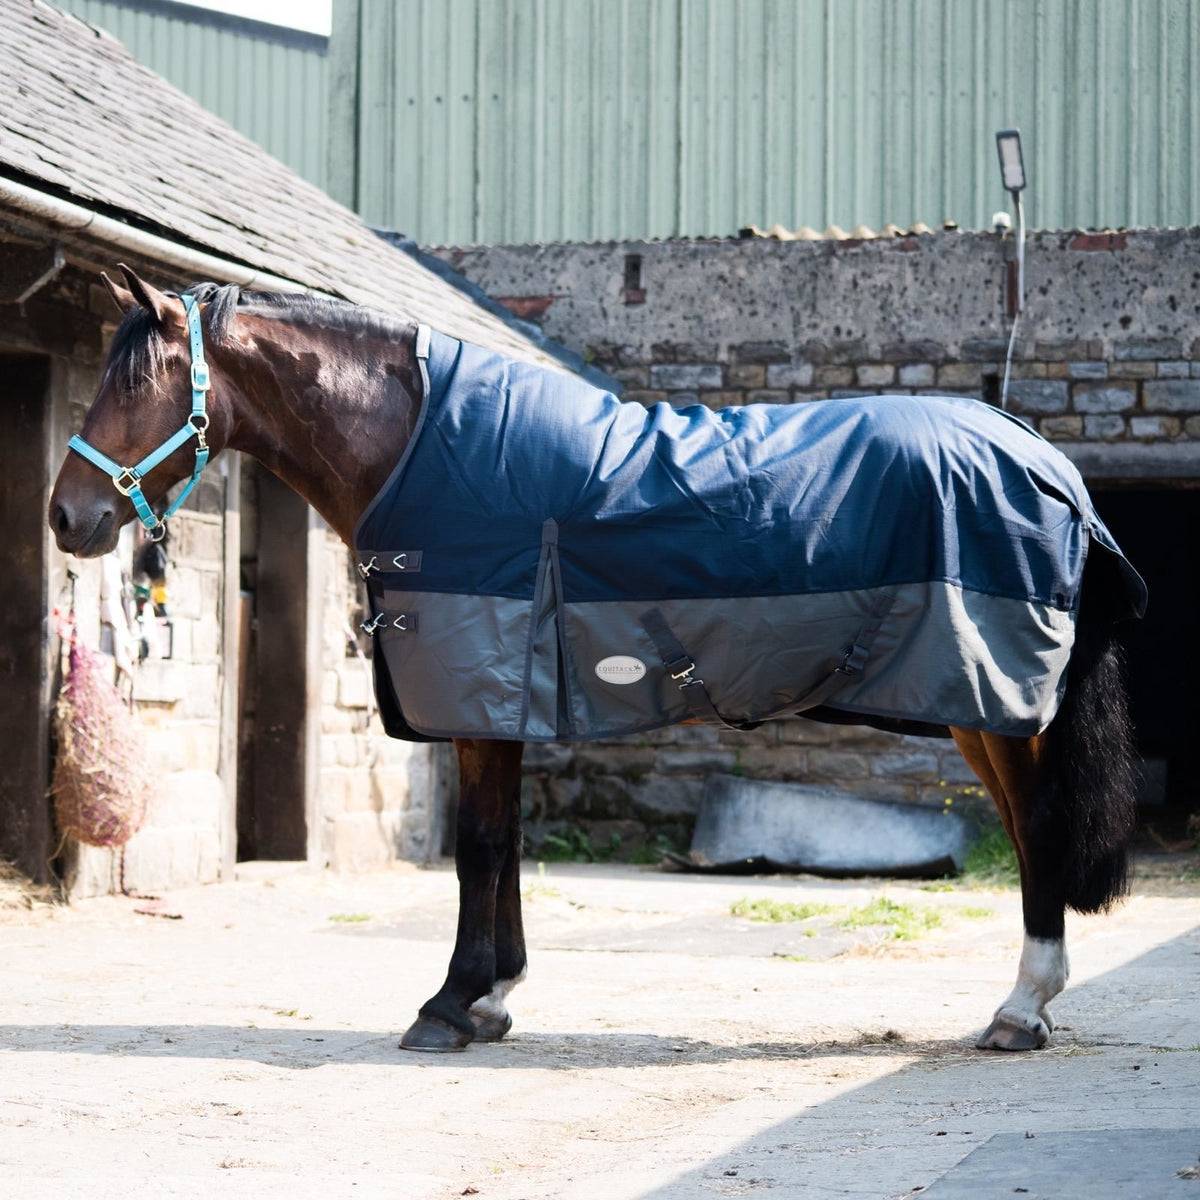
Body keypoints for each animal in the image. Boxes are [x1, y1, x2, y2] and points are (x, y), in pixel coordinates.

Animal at [49, 265, 1144, 1055]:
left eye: (137, 384)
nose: (68, 516)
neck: (424, 447)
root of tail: (1047, 464)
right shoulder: (507, 699)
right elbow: (504, 847)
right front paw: (494, 997)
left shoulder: (480, 693)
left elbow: (480, 847)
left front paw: (449, 1005)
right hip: (987, 707)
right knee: (1026, 827)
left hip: (991, 700)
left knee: (1036, 825)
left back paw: (1022, 1010)